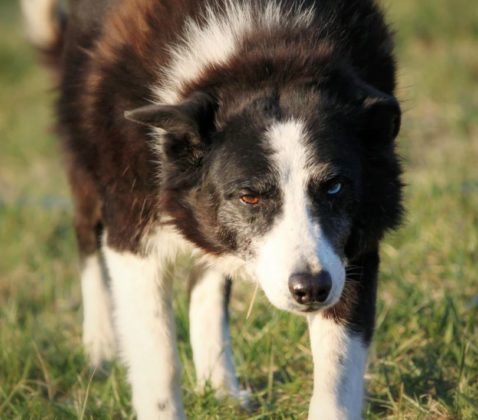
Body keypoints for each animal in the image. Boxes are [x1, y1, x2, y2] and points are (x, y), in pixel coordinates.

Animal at [22, 0, 404, 416]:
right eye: (250, 197)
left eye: (334, 186)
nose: (311, 289)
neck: (264, 50)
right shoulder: (132, 229)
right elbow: (160, 361)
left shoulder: (350, 247)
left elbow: (337, 372)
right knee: (86, 237)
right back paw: (101, 345)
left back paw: (220, 387)